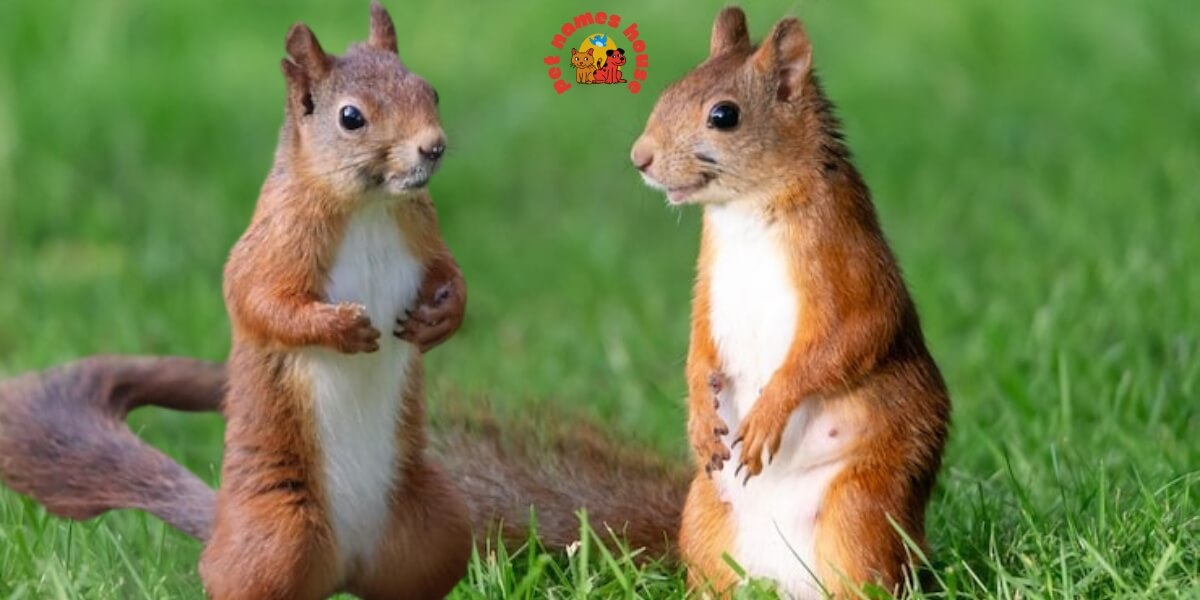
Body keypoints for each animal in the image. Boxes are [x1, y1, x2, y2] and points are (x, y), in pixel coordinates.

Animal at [630, 7, 951, 598]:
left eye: (724, 115)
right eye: (669, 90)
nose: (640, 158)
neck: (748, 209)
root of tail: (788, 583)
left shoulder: (847, 257)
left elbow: (854, 335)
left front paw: (768, 413)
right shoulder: (708, 281)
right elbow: (699, 346)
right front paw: (699, 417)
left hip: (860, 511)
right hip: (703, 516)